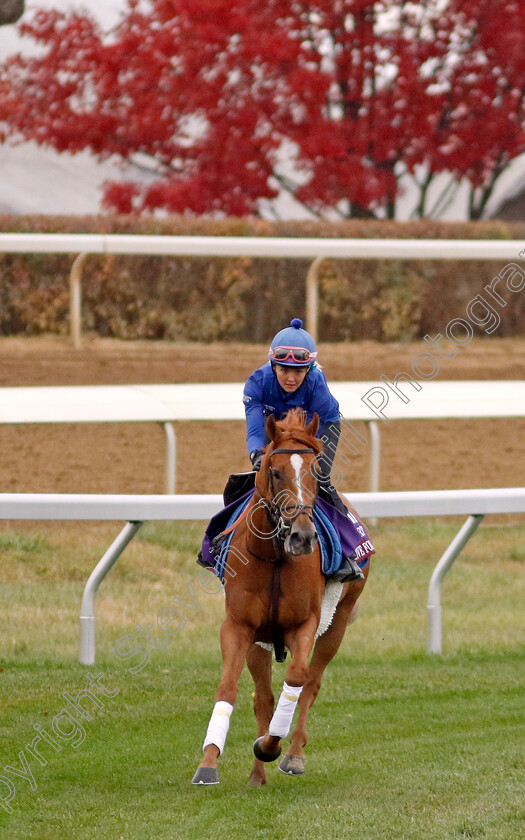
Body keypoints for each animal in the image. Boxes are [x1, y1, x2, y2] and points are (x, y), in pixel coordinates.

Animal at [191, 410, 368, 784]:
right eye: (274, 471)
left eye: (316, 471)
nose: (303, 536)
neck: (274, 557)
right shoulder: (240, 626)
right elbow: (229, 688)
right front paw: (208, 763)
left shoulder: (304, 624)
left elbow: (298, 679)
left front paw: (270, 745)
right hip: (259, 642)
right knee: (263, 697)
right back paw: (257, 776)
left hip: (339, 619)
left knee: (311, 684)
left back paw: (293, 754)